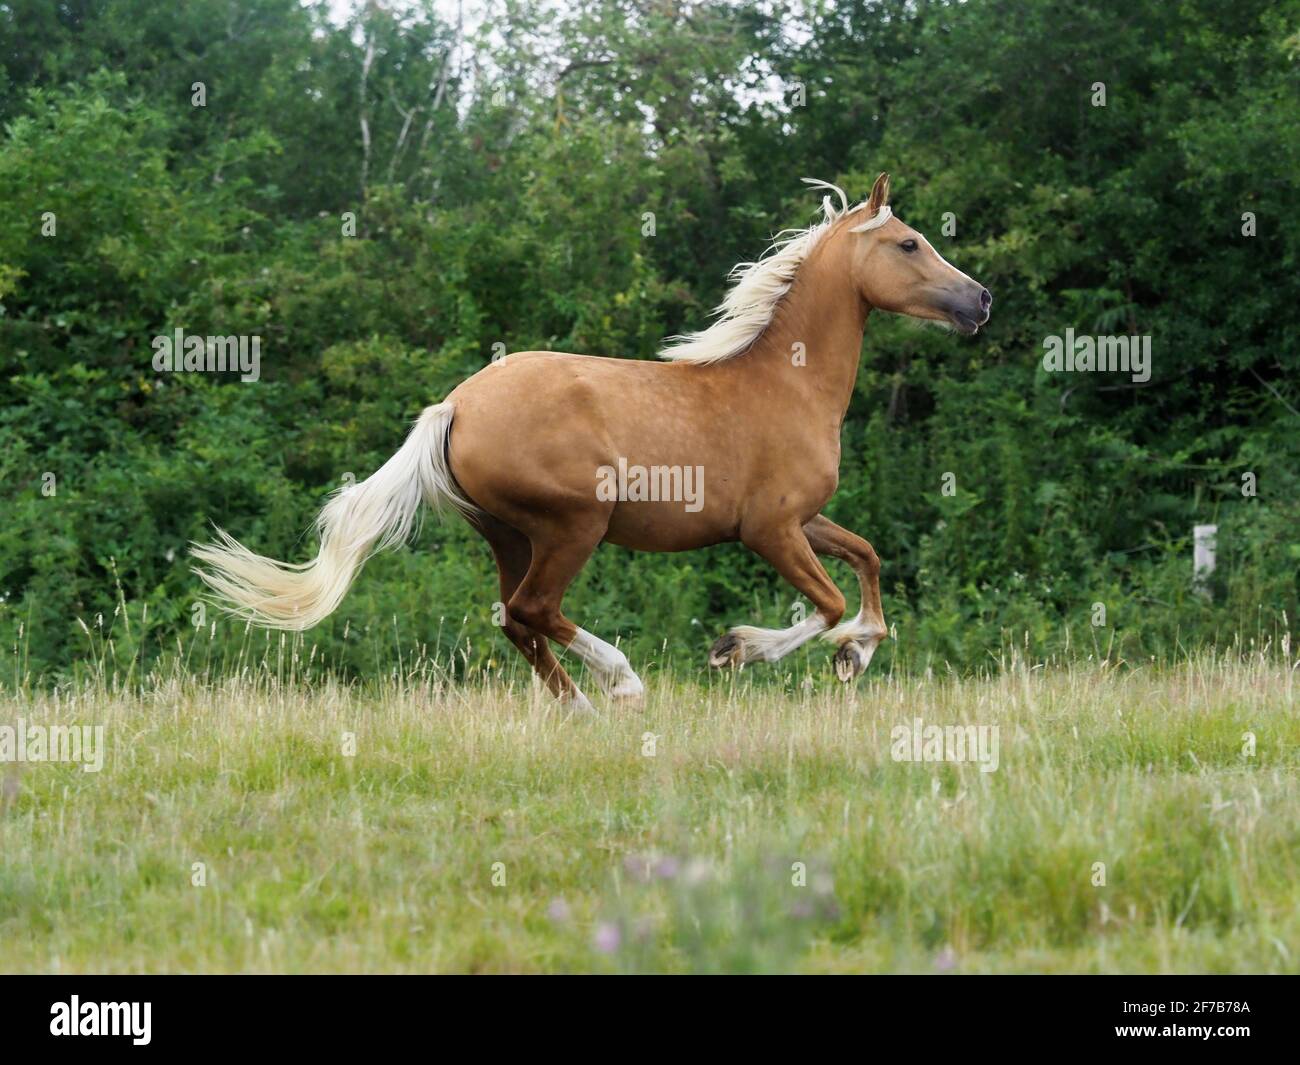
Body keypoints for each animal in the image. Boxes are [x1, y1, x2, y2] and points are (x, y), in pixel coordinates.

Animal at [192, 175, 987, 707]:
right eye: (909, 242)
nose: (979, 299)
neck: (787, 384)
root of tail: (454, 406)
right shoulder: (770, 528)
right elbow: (825, 603)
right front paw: (737, 649)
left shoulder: (806, 519)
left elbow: (867, 560)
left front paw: (856, 653)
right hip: (575, 523)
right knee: (534, 610)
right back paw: (622, 681)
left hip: (509, 534)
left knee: (514, 618)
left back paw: (577, 703)